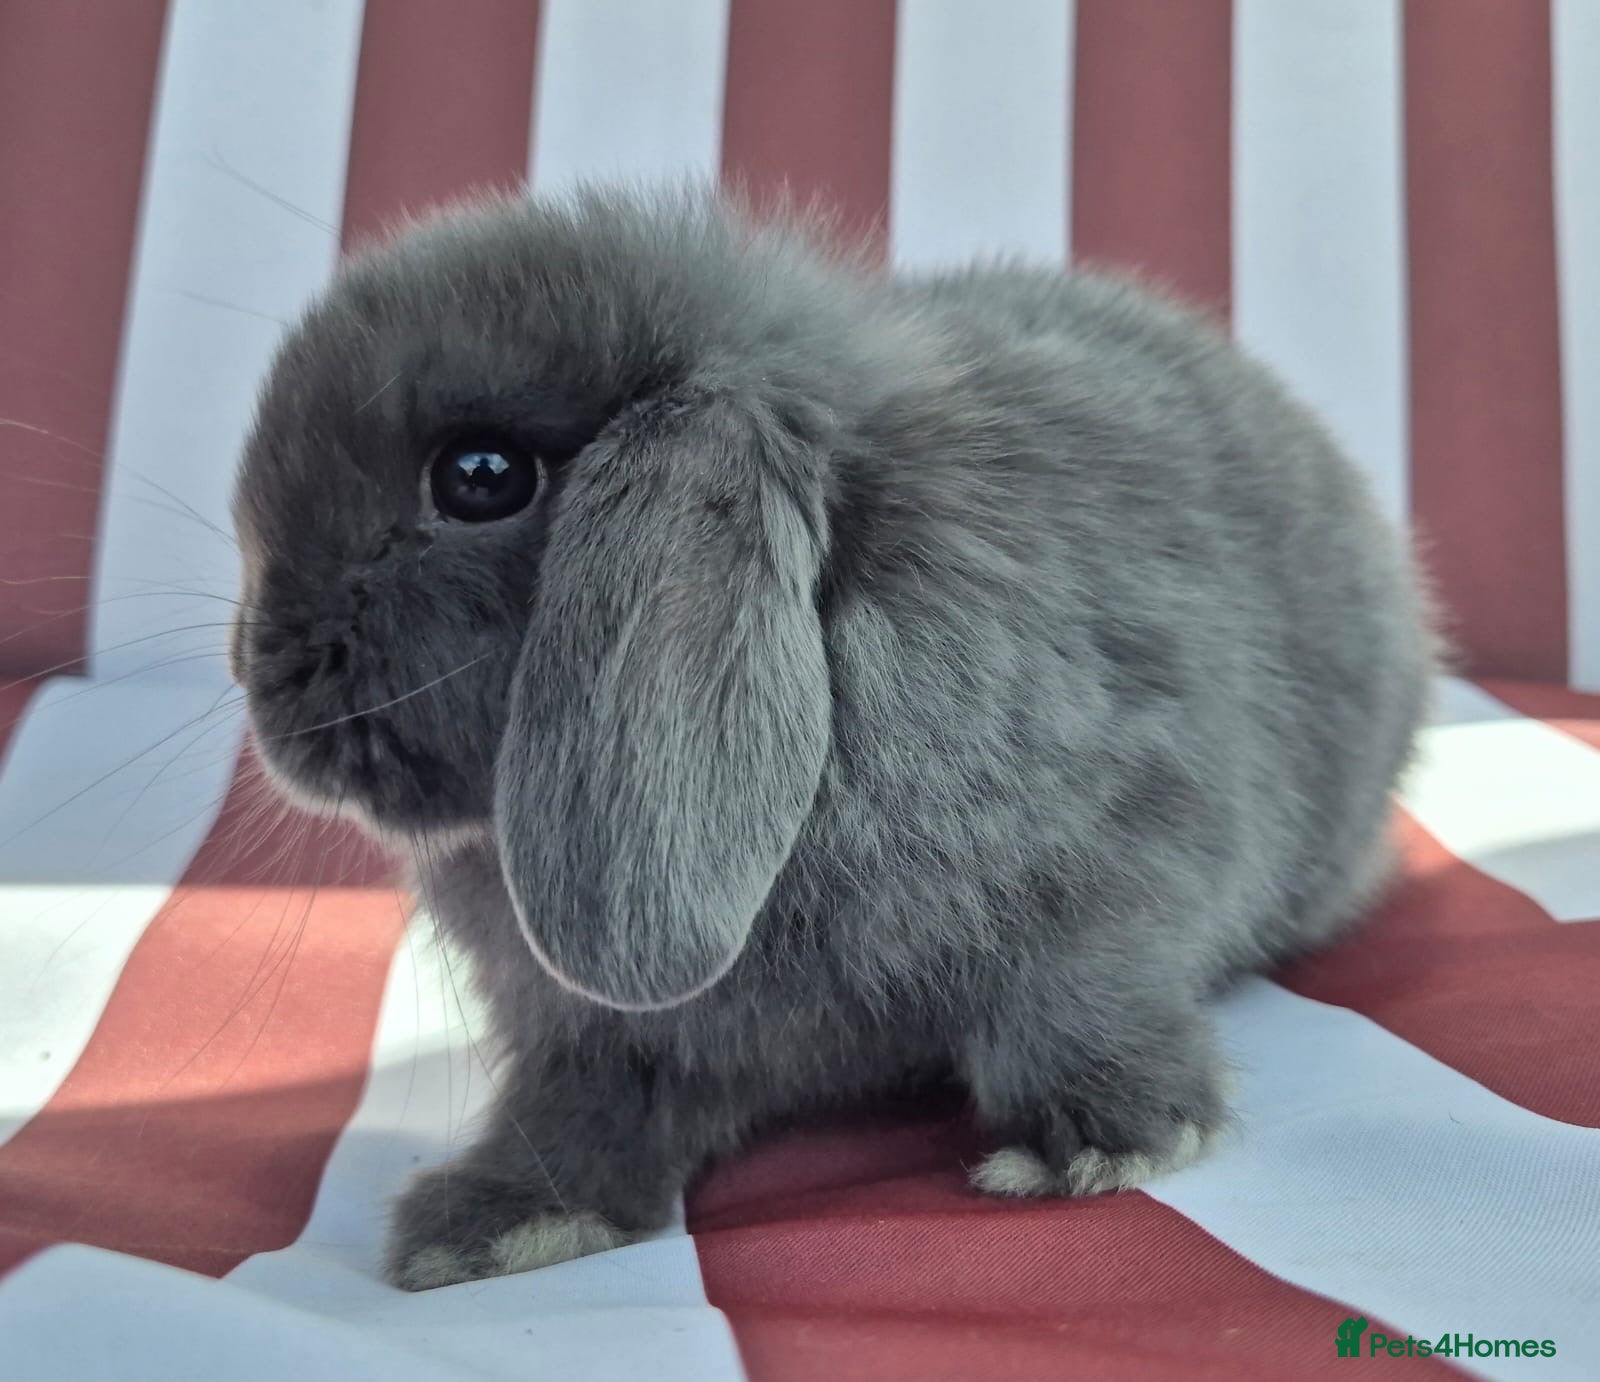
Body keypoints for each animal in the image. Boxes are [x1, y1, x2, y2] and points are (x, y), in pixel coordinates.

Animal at [229, 186, 1437, 1290]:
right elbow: (583, 1112)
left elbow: (1072, 1014)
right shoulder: (596, 1036)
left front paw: (1104, 1146)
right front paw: (492, 1225)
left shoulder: (1099, 890)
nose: (259, 671)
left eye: (481, 476)